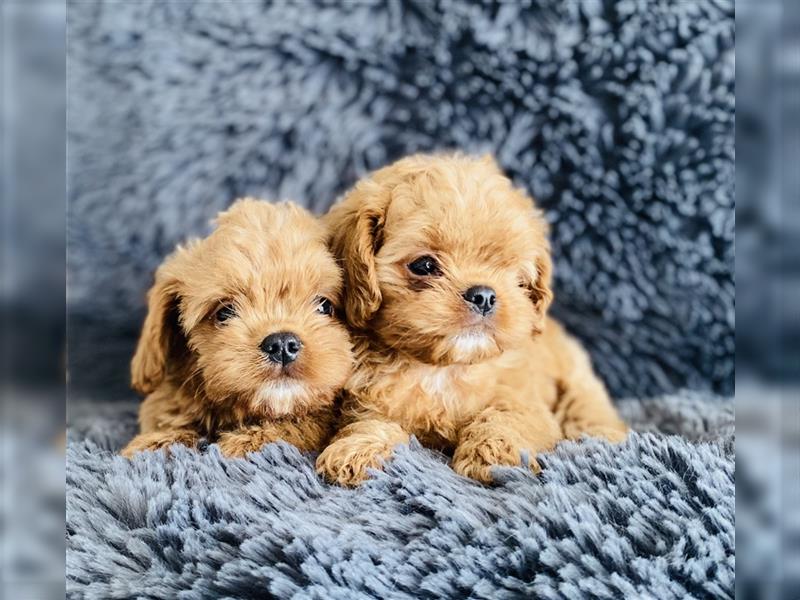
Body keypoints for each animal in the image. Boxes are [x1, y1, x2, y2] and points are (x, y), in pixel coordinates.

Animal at [120, 199, 352, 458]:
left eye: (324, 306)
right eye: (225, 312)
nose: (282, 343)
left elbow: (300, 424)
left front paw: (244, 440)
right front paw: (157, 441)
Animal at [316, 155, 628, 488]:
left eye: (514, 275)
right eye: (424, 265)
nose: (484, 296)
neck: (443, 369)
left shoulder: (526, 402)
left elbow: (505, 417)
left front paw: (492, 453)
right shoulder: (368, 403)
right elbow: (372, 423)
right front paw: (356, 450)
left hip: (575, 373)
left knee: (586, 404)